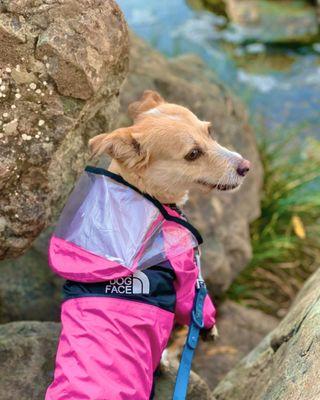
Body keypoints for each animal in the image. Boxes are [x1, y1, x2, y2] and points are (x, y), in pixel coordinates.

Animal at [46, 90, 250, 400]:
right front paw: (208, 329)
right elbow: (196, 305)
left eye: (210, 131)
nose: (246, 167)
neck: (142, 194)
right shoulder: (187, 274)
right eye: (192, 154)